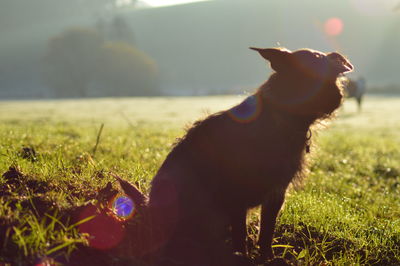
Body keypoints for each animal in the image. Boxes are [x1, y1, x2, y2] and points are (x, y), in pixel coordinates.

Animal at [116, 46, 354, 264]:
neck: (279, 120)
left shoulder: (277, 193)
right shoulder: (237, 194)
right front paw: (242, 257)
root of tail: (148, 206)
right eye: (304, 76)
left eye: (334, 75)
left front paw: (268, 258)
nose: (336, 96)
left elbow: (267, 231)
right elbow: (241, 233)